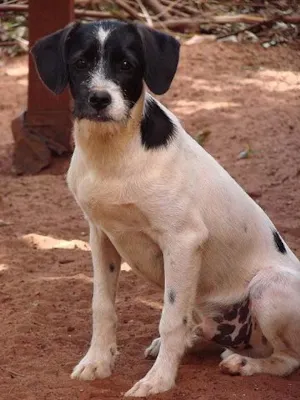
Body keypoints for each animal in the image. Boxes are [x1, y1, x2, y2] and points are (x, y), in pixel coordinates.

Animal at [31, 19, 300, 396]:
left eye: (126, 64)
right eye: (80, 63)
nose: (99, 99)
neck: (114, 154)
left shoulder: (183, 241)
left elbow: (170, 320)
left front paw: (158, 380)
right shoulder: (101, 235)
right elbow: (102, 306)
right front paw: (98, 362)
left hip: (269, 287)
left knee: (287, 359)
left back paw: (244, 363)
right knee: (199, 325)